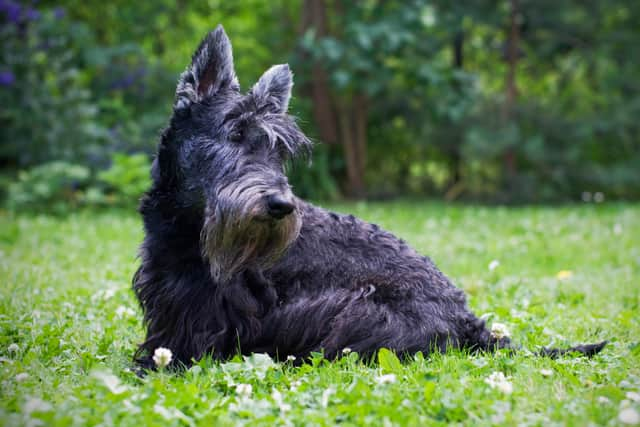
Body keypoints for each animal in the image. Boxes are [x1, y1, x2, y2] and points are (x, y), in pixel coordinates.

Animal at [132, 25, 608, 370]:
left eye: (278, 151)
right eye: (234, 134)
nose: (281, 206)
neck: (187, 225)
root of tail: (468, 324)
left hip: (356, 312)